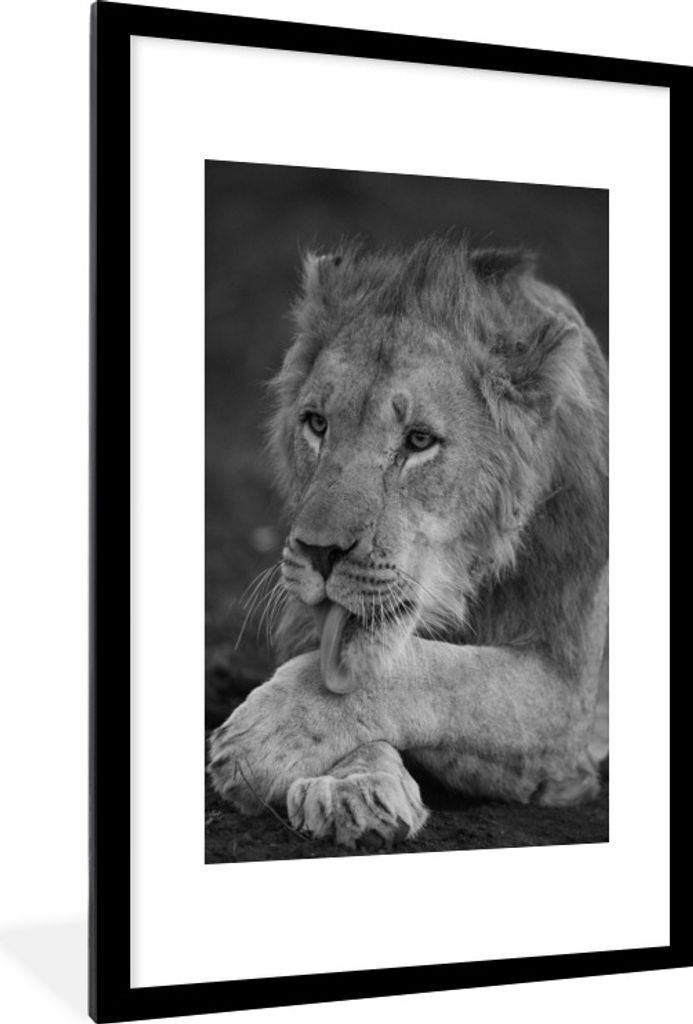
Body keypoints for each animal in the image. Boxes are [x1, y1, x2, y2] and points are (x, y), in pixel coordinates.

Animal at [208, 235, 608, 849]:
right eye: (317, 424)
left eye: (419, 441)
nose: (318, 553)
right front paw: (355, 787)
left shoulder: (568, 710)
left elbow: (449, 674)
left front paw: (267, 736)